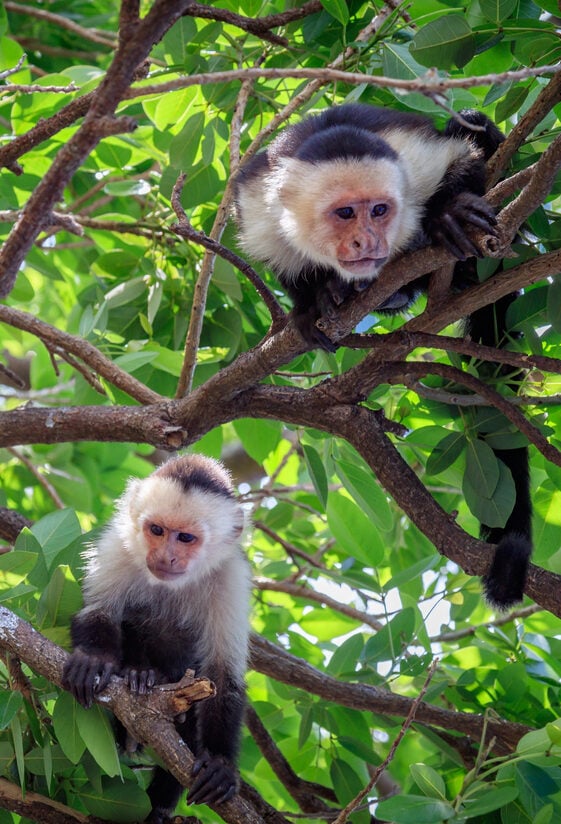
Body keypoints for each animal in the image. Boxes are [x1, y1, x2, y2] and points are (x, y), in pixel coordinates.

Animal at [61, 458, 252, 824]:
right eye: (157, 531)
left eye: (186, 537)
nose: (166, 557)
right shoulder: (117, 548)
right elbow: (99, 612)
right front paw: (95, 660)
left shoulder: (230, 579)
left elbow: (222, 673)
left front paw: (220, 762)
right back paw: (141, 674)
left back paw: (160, 805)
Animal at [234, 103, 532, 608]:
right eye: (345, 213)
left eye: (379, 210)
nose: (368, 241)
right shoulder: (258, 203)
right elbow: (280, 257)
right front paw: (312, 303)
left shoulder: (412, 163)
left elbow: (461, 158)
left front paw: (448, 211)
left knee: (470, 123)